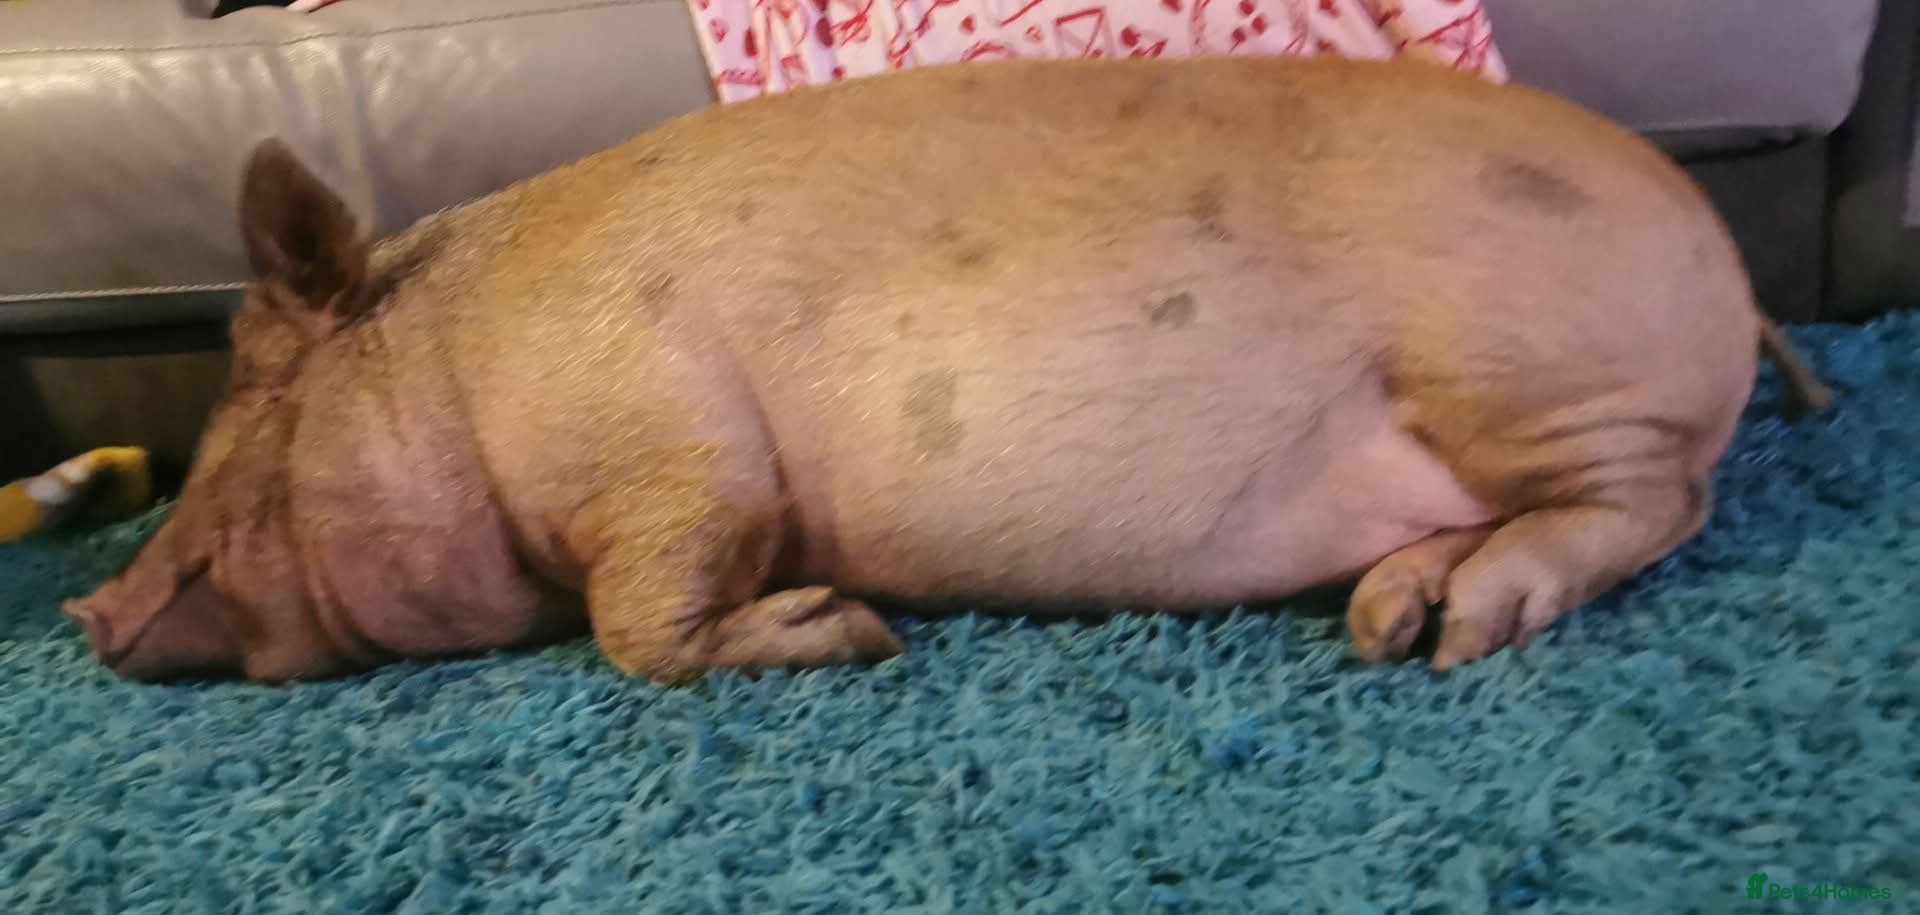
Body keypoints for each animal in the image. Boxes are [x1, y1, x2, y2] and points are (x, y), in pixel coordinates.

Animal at [62, 55, 1830, 685]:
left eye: (247, 392)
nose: (83, 608)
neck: (464, 366)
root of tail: (1728, 269)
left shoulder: (675, 456)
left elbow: (645, 621)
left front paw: (852, 629)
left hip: (1537, 374)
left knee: (1661, 502)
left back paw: (1452, 632)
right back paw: (1390, 615)